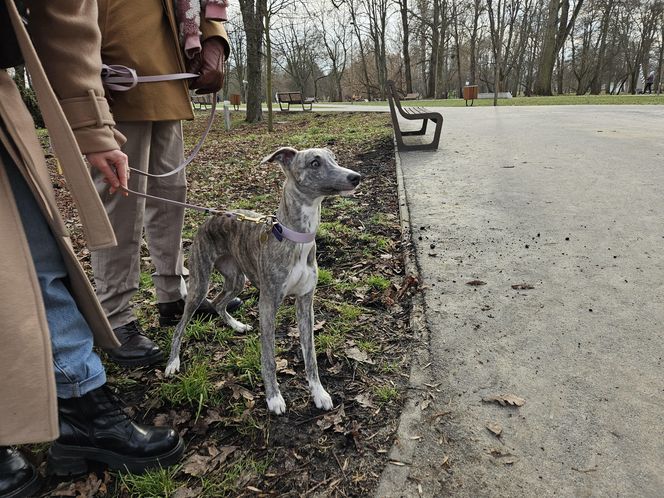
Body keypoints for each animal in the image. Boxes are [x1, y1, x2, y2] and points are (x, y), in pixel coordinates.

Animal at [166, 146, 364, 414]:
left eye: (334, 158)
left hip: (236, 279)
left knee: (218, 302)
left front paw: (319, 393)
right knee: (181, 324)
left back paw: (236, 325)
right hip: (200, 283)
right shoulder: (268, 304)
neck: (296, 237)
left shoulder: (306, 302)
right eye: (314, 163)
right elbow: (268, 356)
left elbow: (311, 356)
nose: (356, 177)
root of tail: (211, 216)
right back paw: (172, 362)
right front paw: (273, 397)